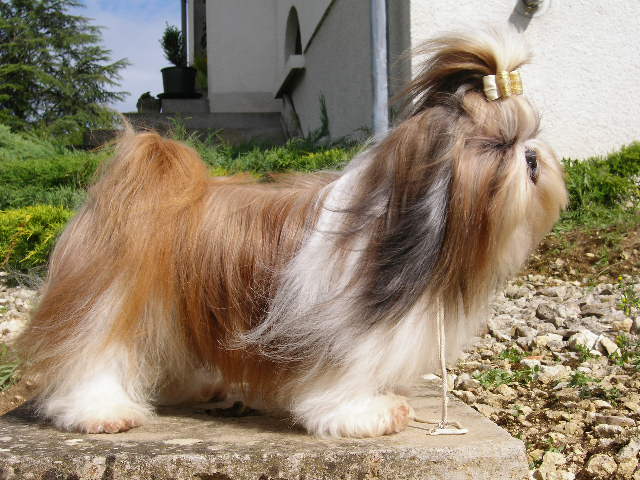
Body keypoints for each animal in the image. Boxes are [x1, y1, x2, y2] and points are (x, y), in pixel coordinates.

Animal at [18, 28, 567, 438]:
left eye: (533, 134)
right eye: (497, 144)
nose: (533, 157)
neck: (402, 231)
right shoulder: (336, 333)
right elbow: (340, 382)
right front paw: (368, 413)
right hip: (109, 296)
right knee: (91, 353)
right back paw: (100, 412)